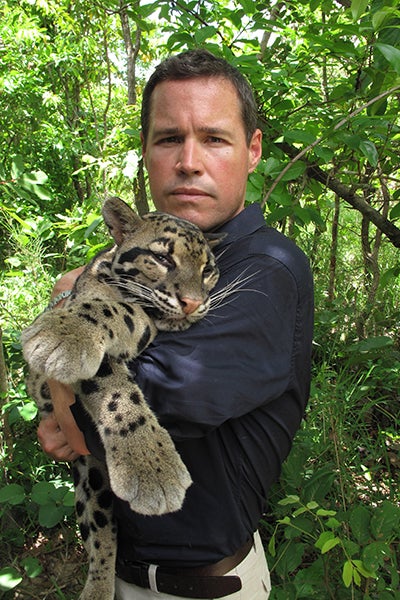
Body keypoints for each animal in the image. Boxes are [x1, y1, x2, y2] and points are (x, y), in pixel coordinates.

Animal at [21, 196, 223, 600]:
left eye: (208, 270)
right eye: (162, 258)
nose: (193, 303)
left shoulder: (145, 325)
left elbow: (127, 315)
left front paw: (150, 465)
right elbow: (110, 349)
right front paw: (151, 465)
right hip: (91, 479)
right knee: (100, 533)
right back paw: (97, 587)